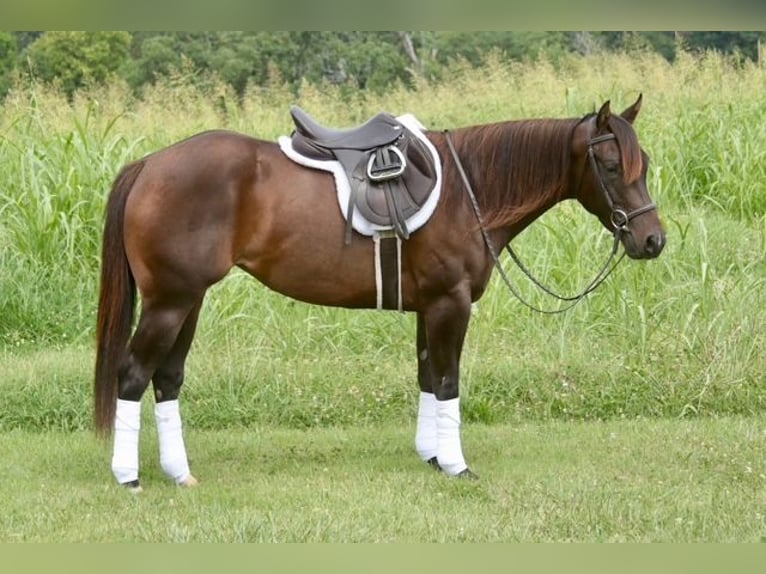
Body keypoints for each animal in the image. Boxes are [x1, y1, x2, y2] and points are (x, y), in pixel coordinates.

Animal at [93, 94, 665, 491]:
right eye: (611, 167)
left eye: (644, 163)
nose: (652, 240)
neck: (470, 190)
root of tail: (149, 165)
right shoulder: (450, 303)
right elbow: (449, 380)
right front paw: (456, 463)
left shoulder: (428, 306)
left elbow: (427, 376)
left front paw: (431, 455)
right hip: (170, 302)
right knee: (134, 375)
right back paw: (128, 476)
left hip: (188, 301)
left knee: (167, 379)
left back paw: (179, 473)